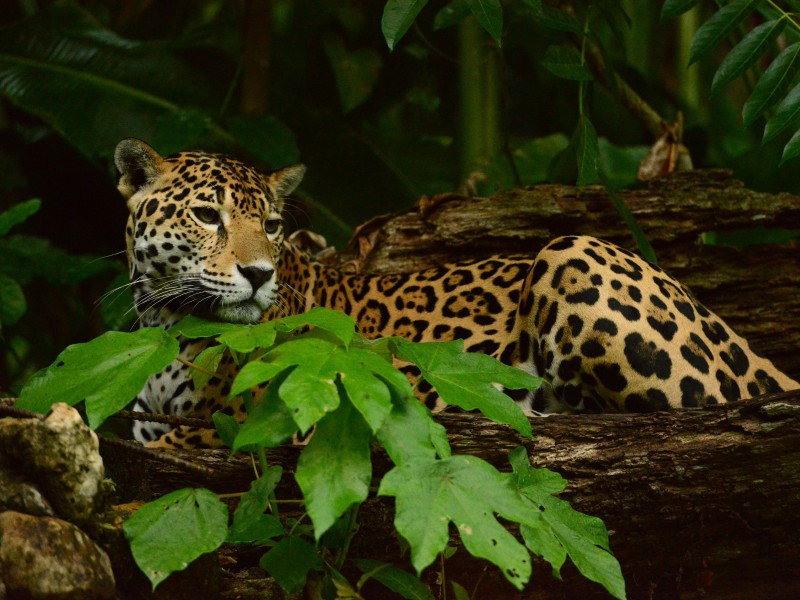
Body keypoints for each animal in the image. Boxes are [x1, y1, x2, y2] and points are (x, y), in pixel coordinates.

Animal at [114, 138, 798, 448]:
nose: (258, 273)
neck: (168, 328)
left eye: (273, 227)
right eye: (208, 216)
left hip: (570, 251)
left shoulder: (246, 425)